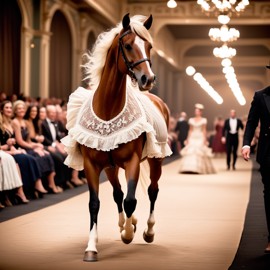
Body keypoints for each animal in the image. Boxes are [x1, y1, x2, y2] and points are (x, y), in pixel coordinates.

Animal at [63, 13, 171, 262]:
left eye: (149, 46)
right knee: (117, 193)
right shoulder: (92, 165)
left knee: (152, 190)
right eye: (129, 45)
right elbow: (96, 203)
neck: (108, 110)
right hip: (111, 167)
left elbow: (131, 200)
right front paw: (91, 248)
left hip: (156, 159)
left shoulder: (133, 161)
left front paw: (129, 233)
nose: (148, 79)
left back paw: (147, 230)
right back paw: (125, 223)